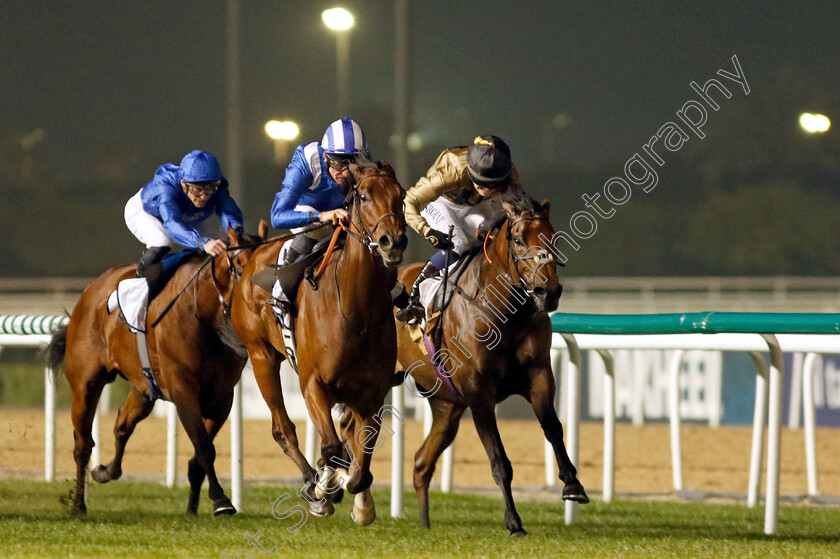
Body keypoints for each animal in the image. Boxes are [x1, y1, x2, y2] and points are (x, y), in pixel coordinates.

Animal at [46, 222, 270, 516]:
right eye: (240, 264)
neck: (204, 316)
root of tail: (90, 291)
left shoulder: (222, 396)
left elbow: (199, 454)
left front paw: (193, 508)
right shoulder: (183, 389)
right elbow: (204, 447)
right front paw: (221, 501)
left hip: (144, 389)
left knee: (122, 424)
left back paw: (106, 471)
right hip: (86, 384)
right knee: (83, 445)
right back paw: (78, 506)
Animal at [231, 163, 408, 524]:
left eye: (402, 195)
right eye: (364, 195)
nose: (392, 241)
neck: (357, 312)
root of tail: (253, 255)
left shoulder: (372, 392)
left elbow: (360, 461)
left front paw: (359, 500)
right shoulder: (313, 383)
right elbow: (331, 447)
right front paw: (324, 490)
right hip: (261, 356)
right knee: (283, 429)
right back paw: (312, 484)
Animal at [396, 194, 588, 540]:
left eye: (552, 236)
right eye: (518, 239)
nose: (549, 292)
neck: (505, 313)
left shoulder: (539, 376)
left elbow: (553, 427)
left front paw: (572, 484)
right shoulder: (479, 395)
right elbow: (499, 461)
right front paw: (513, 522)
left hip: (446, 405)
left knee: (420, 463)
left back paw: (424, 523)